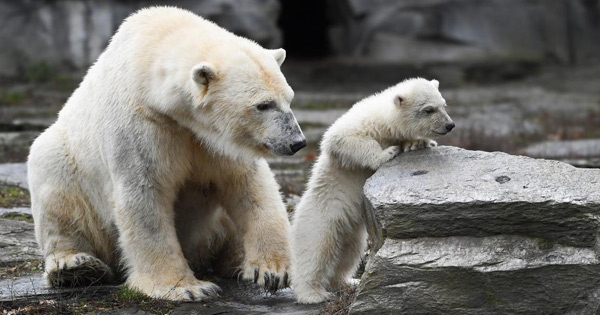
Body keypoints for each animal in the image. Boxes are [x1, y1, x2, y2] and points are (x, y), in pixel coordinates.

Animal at [27, 6, 304, 302]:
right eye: (263, 105)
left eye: (289, 98)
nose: (297, 142)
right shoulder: (141, 124)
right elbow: (146, 196)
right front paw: (185, 288)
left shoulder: (215, 140)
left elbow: (248, 185)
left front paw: (273, 271)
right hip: (68, 164)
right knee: (57, 190)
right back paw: (76, 267)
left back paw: (237, 261)